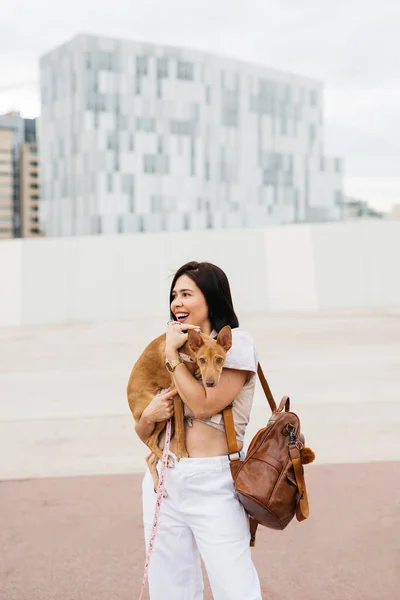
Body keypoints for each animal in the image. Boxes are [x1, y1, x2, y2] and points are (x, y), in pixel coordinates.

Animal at [126, 326, 233, 490]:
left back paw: (159, 484)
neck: (188, 350)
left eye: (219, 359)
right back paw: (168, 461)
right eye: (202, 359)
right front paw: (182, 453)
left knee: (150, 457)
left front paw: (197, 372)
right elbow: (182, 431)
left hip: (168, 423)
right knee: (150, 441)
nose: (209, 383)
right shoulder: (175, 393)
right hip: (163, 412)